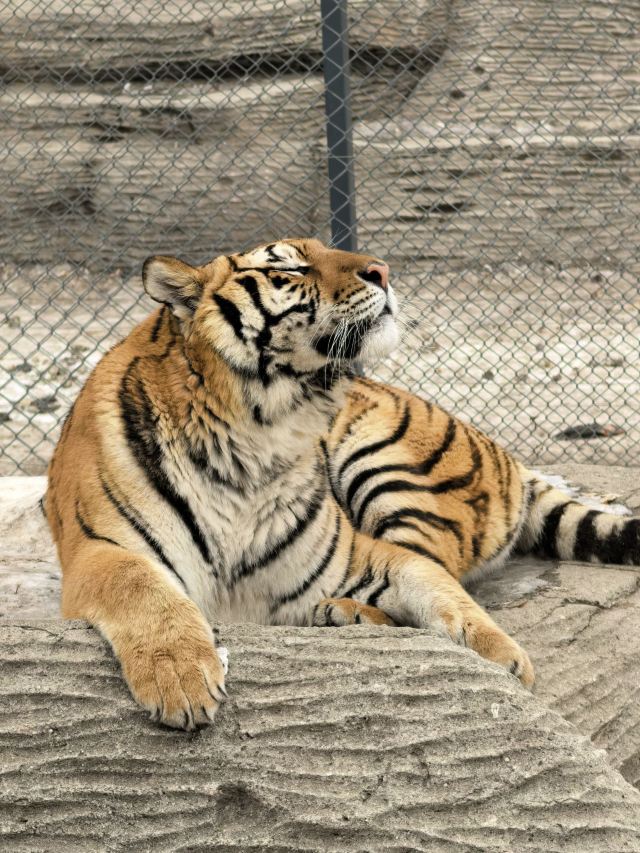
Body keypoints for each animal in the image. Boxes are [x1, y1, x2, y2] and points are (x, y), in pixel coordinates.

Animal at [45, 238, 640, 730]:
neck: (261, 435)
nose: (383, 270)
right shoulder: (101, 549)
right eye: (290, 267)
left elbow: (435, 585)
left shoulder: (349, 557)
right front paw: (181, 679)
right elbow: (142, 589)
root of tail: (510, 456)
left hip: (385, 465)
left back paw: (341, 614)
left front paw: (504, 659)